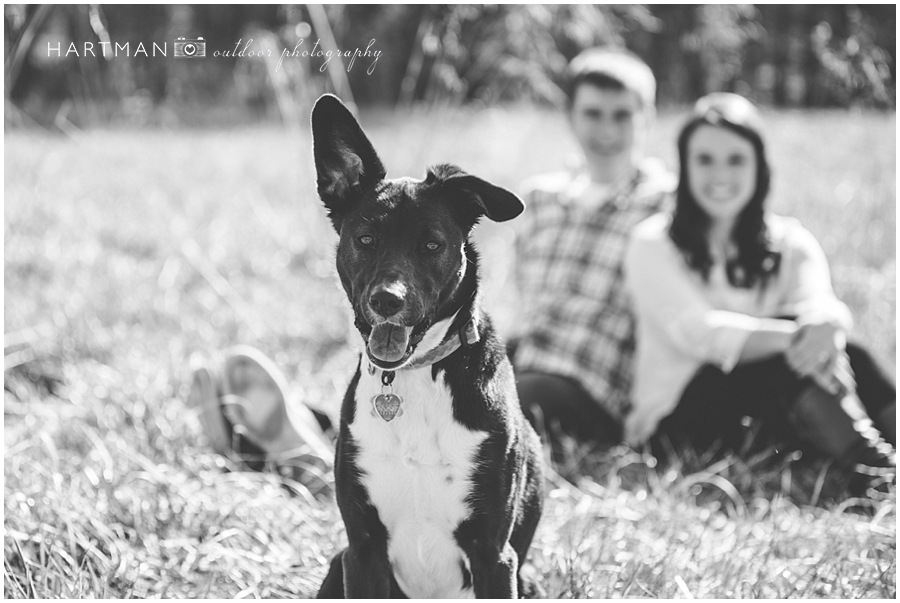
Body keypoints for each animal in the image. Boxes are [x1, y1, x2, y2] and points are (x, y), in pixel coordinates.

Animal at [312, 94, 540, 600]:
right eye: (365, 239)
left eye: (432, 245)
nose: (386, 300)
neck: (415, 375)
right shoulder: (361, 551)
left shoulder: (495, 555)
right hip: (336, 566)